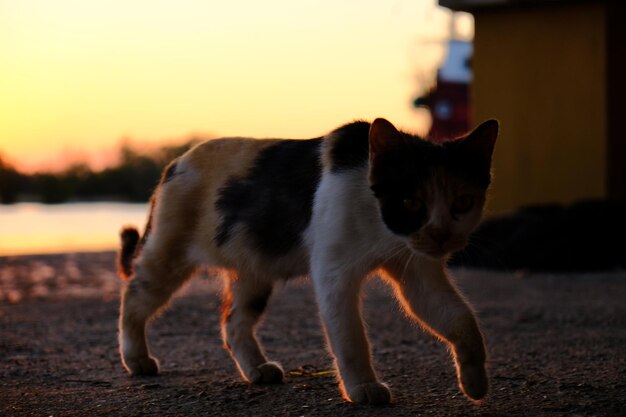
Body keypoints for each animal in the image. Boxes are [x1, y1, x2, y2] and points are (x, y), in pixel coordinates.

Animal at [117, 117, 498, 404]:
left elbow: (461, 319)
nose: (441, 234)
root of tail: (174, 163)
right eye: (411, 203)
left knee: (233, 323)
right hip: (166, 257)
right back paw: (136, 360)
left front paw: (475, 383)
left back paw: (257, 370)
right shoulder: (334, 274)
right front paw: (364, 389)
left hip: (254, 271)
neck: (383, 229)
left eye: (463, 202)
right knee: (133, 298)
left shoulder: (418, 272)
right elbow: (350, 337)